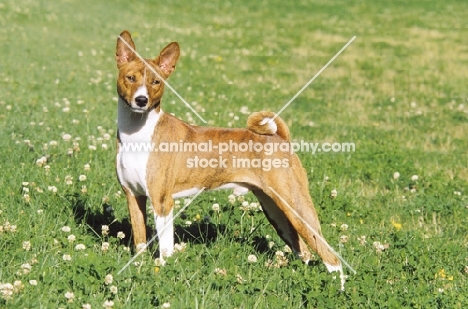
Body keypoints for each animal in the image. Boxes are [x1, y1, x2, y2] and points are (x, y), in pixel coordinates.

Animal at [115, 30, 342, 274]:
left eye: (156, 82)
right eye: (131, 78)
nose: (141, 100)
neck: (137, 134)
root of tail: (281, 137)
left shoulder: (162, 202)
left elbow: (165, 249)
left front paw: (164, 271)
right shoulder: (134, 196)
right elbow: (139, 242)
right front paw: (138, 268)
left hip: (295, 205)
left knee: (331, 257)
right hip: (275, 209)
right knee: (304, 249)